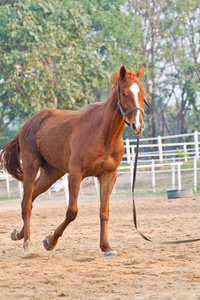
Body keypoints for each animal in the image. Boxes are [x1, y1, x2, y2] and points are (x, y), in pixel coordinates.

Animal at [0, 64, 146, 256]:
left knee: (31, 200)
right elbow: (72, 212)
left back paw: (19, 233)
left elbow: (104, 211)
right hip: (31, 166)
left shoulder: (108, 175)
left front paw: (106, 247)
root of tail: (28, 123)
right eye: (124, 93)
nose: (138, 126)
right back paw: (27, 245)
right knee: (26, 203)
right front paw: (50, 240)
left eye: (142, 93)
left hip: (51, 174)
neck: (104, 134)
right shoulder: (75, 174)